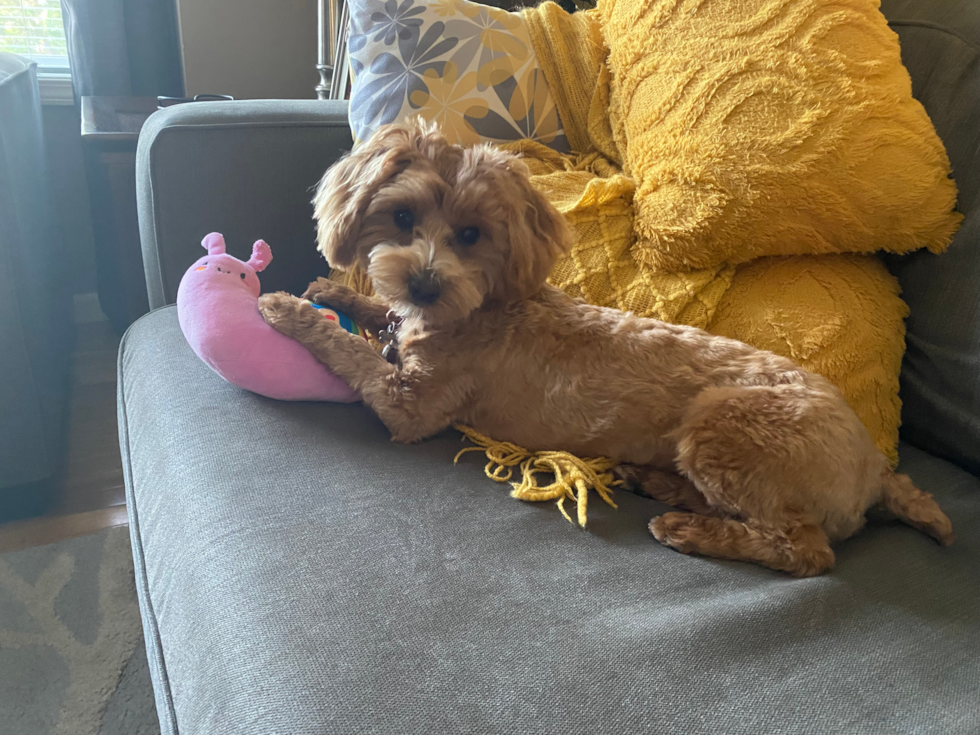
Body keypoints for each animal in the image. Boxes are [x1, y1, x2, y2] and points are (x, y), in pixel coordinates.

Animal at [256, 121, 952, 576]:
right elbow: (378, 321)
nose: (423, 283)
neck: (481, 307)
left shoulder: (413, 405)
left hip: (724, 423)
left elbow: (352, 354)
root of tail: (874, 465)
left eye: (472, 235)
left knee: (806, 551)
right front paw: (335, 293)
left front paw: (287, 308)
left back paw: (689, 530)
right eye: (402, 219)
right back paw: (659, 483)